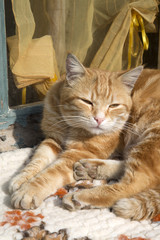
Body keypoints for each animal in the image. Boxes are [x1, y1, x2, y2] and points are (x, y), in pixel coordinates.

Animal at [9, 53, 160, 220]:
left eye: (113, 105)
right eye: (86, 101)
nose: (99, 119)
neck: (71, 125)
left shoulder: (80, 152)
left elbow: (50, 173)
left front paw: (29, 190)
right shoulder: (53, 140)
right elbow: (38, 158)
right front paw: (21, 178)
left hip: (150, 136)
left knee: (135, 183)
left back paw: (79, 196)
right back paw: (91, 168)